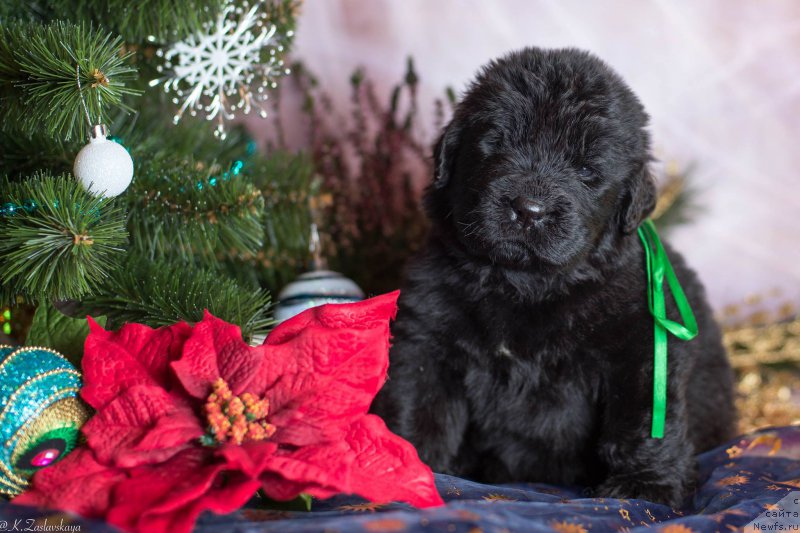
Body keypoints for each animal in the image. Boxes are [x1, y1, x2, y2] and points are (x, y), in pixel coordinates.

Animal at [372, 47, 736, 504]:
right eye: (496, 145)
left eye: (586, 170)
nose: (530, 210)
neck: (526, 285)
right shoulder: (427, 337)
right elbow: (420, 406)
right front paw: (409, 470)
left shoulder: (642, 347)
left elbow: (643, 422)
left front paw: (644, 486)